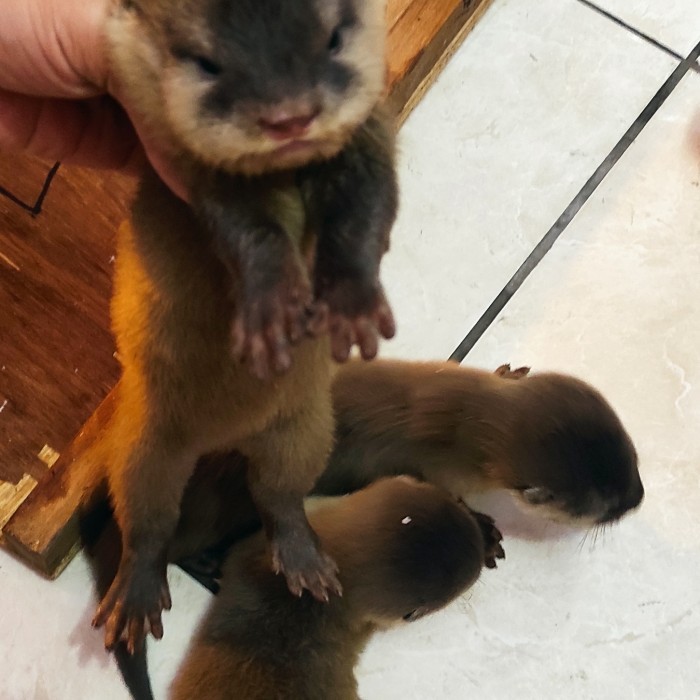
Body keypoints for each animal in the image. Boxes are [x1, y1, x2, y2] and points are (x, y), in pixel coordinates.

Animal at [93, 0, 397, 652]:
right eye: (205, 62)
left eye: (333, 37)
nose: (289, 118)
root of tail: (227, 437)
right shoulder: (197, 178)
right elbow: (247, 233)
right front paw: (271, 310)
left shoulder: (371, 139)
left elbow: (369, 212)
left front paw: (351, 303)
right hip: (143, 444)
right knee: (148, 521)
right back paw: (136, 593)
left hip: (305, 429)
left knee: (279, 496)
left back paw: (303, 559)